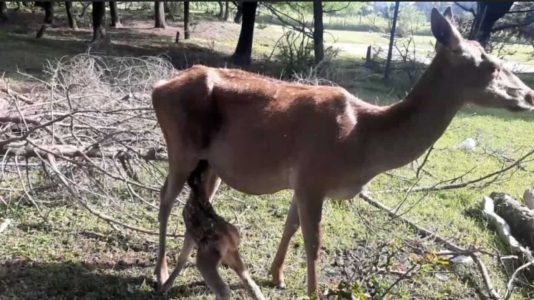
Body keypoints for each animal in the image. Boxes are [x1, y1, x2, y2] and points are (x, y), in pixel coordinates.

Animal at [160, 161, 266, 298]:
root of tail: (229, 237)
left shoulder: (189, 233)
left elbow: (182, 258)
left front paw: (166, 286)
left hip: (206, 257)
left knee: (223, 289)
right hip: (231, 253)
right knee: (249, 282)